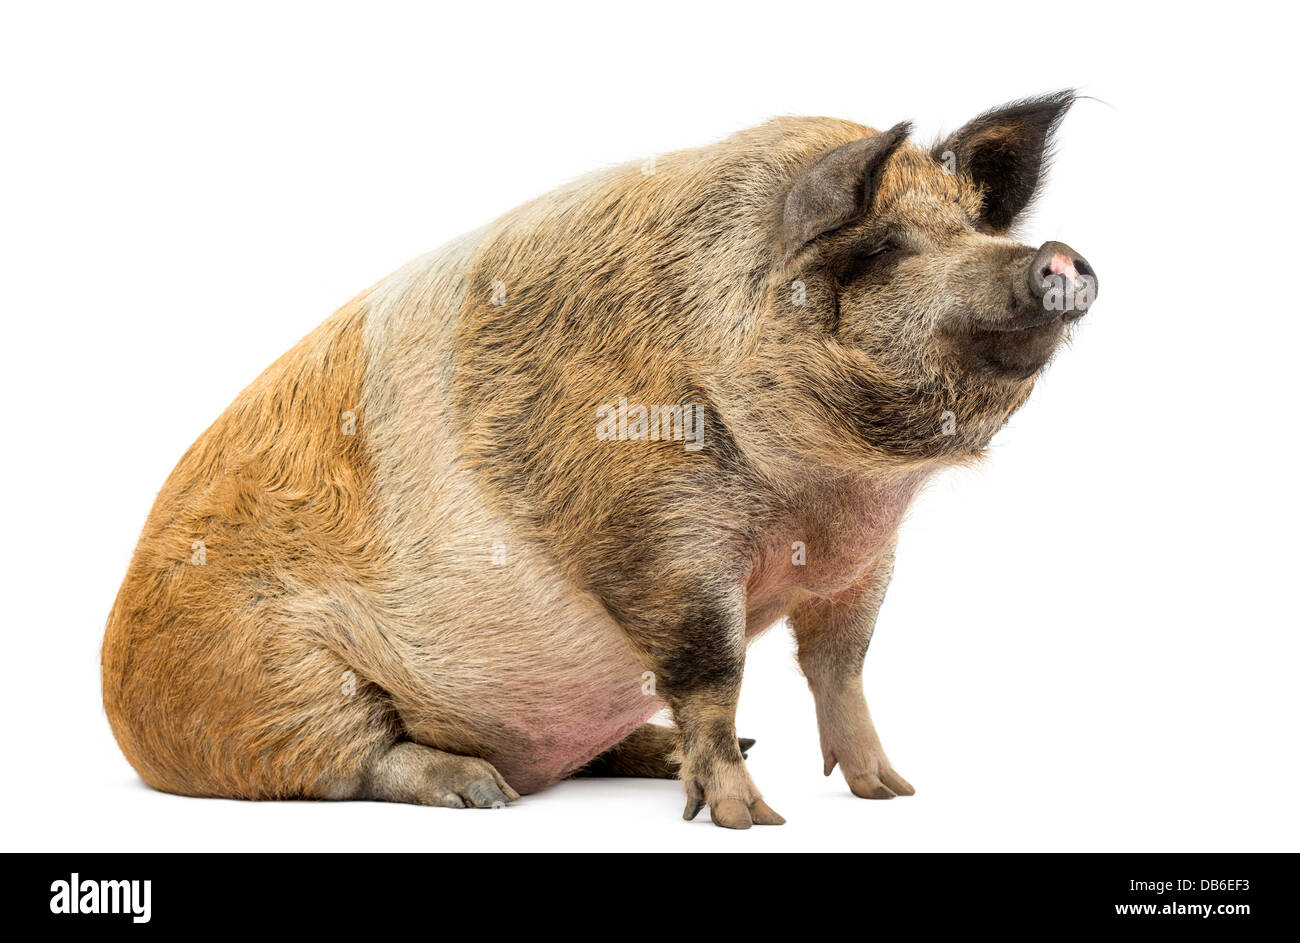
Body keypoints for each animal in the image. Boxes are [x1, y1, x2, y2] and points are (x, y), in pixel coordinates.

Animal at [104, 91, 1097, 827]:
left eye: (976, 226)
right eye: (883, 248)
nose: (1053, 255)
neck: (828, 496)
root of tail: (117, 699)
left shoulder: (866, 560)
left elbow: (842, 666)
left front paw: (892, 793)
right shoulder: (659, 532)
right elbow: (712, 668)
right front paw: (748, 817)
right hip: (281, 681)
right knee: (361, 757)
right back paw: (484, 792)